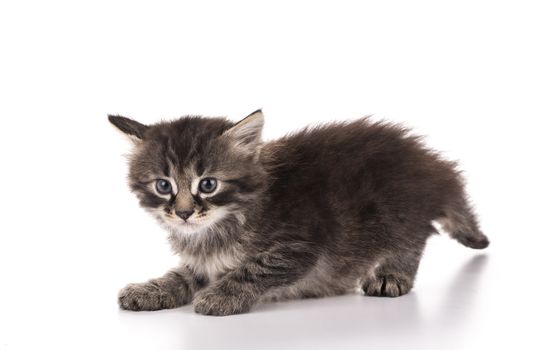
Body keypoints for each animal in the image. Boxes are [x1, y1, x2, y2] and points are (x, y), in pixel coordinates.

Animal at [110, 110, 490, 316]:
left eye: (208, 184)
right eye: (163, 186)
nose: (184, 213)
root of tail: (428, 163)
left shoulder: (298, 246)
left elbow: (254, 269)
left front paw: (221, 295)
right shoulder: (204, 261)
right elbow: (180, 276)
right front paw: (151, 289)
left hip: (396, 211)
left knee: (413, 238)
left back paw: (390, 274)